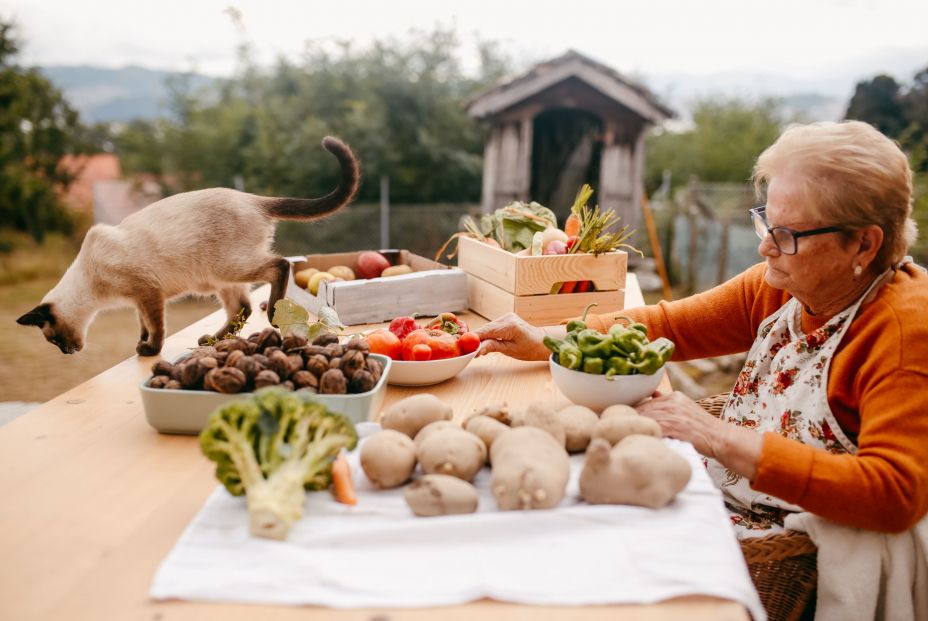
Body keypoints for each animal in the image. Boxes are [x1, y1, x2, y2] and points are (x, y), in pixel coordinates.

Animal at [19, 137, 358, 356]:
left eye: (53, 340)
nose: (67, 352)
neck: (95, 291)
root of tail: (253, 199)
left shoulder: (148, 294)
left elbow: (156, 328)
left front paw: (149, 350)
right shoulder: (139, 300)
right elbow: (143, 325)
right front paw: (141, 344)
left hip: (226, 268)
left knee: (280, 265)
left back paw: (274, 313)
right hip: (220, 279)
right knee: (242, 308)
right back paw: (210, 341)